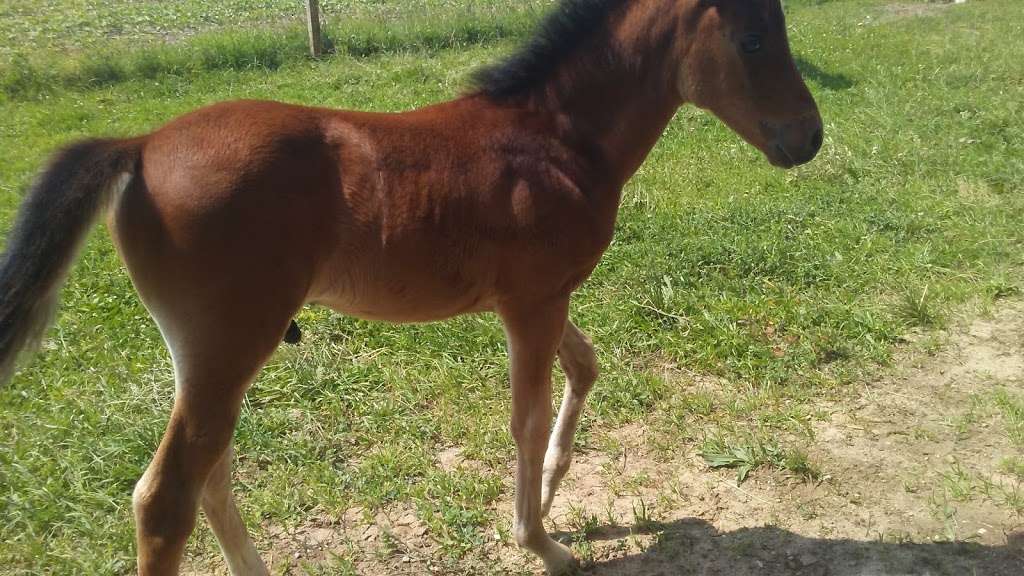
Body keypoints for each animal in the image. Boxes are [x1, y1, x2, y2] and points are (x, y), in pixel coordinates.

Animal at [0, 1, 819, 569]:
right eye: (752, 39)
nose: (809, 136)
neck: (555, 139)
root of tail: (138, 146)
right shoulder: (532, 304)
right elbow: (527, 417)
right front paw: (541, 542)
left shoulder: (542, 298)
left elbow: (584, 368)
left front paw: (553, 491)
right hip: (229, 348)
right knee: (167, 496)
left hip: (207, 359)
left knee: (208, 475)